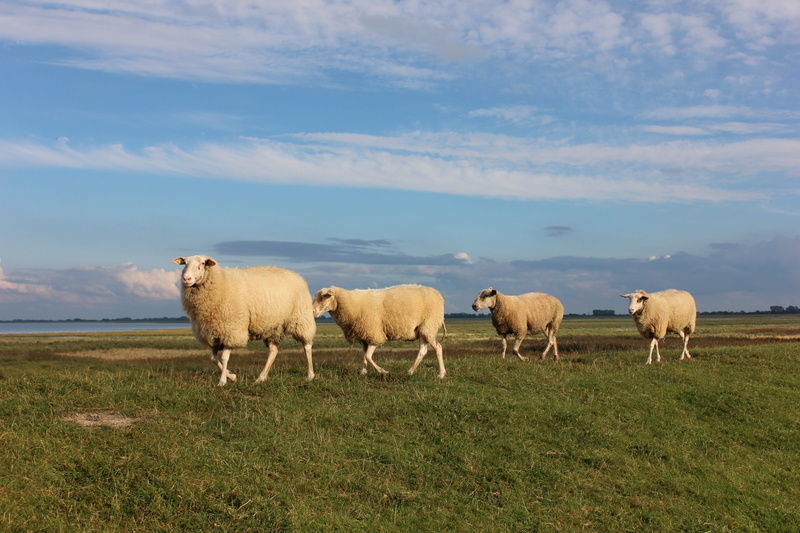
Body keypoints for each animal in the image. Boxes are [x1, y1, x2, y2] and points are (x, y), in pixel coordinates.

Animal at [172, 255, 316, 385]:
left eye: (202, 264)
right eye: (184, 263)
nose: (186, 278)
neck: (220, 281)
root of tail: (297, 275)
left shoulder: (231, 330)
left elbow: (224, 358)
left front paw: (222, 381)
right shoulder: (213, 333)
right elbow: (213, 358)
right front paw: (232, 376)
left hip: (301, 319)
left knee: (307, 346)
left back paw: (310, 375)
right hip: (272, 327)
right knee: (273, 351)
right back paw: (261, 378)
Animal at [312, 284, 447, 378]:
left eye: (324, 296)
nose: (312, 312)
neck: (351, 304)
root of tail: (438, 294)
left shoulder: (374, 335)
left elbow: (368, 356)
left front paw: (383, 371)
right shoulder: (364, 337)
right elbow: (364, 356)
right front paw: (363, 373)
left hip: (428, 326)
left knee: (438, 347)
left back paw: (441, 374)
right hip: (423, 330)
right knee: (423, 351)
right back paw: (410, 371)